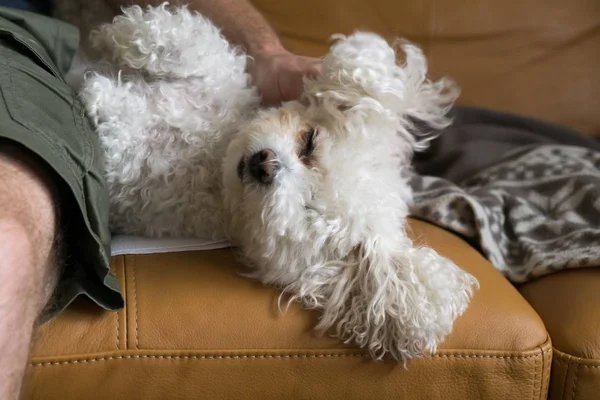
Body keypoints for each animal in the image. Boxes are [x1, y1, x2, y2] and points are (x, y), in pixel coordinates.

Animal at [76, 3, 478, 362]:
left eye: (309, 210)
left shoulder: (151, 196)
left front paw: (101, 100)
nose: (264, 164)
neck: (213, 153)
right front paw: (122, 33)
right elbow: (195, 45)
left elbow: (125, 148)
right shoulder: (223, 78)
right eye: (310, 144)